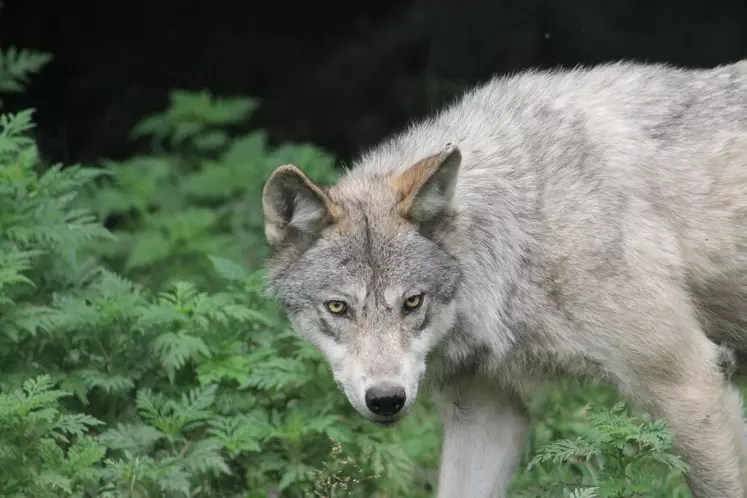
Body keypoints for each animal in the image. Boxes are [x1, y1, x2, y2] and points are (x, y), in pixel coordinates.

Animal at [260, 59, 747, 498]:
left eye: (413, 302)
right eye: (337, 307)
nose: (386, 399)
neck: (524, 233)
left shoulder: (689, 385)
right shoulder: (485, 411)